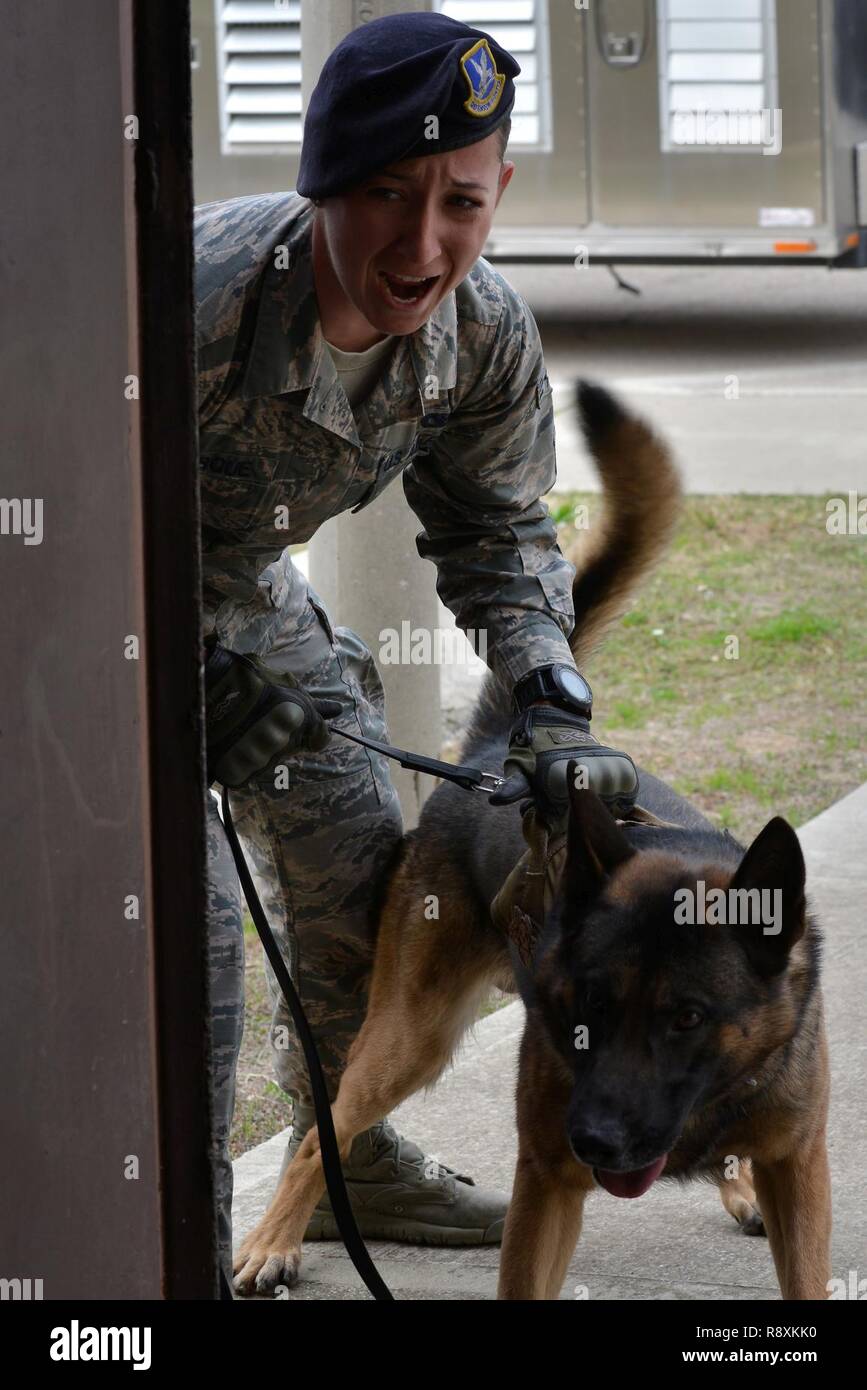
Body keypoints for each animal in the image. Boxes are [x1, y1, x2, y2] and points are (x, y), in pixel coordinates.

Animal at [233, 383, 828, 1301]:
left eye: (688, 1016)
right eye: (587, 1006)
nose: (598, 1140)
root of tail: (492, 759)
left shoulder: (799, 1169)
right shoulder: (544, 1178)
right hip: (407, 1034)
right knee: (316, 1136)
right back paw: (273, 1240)